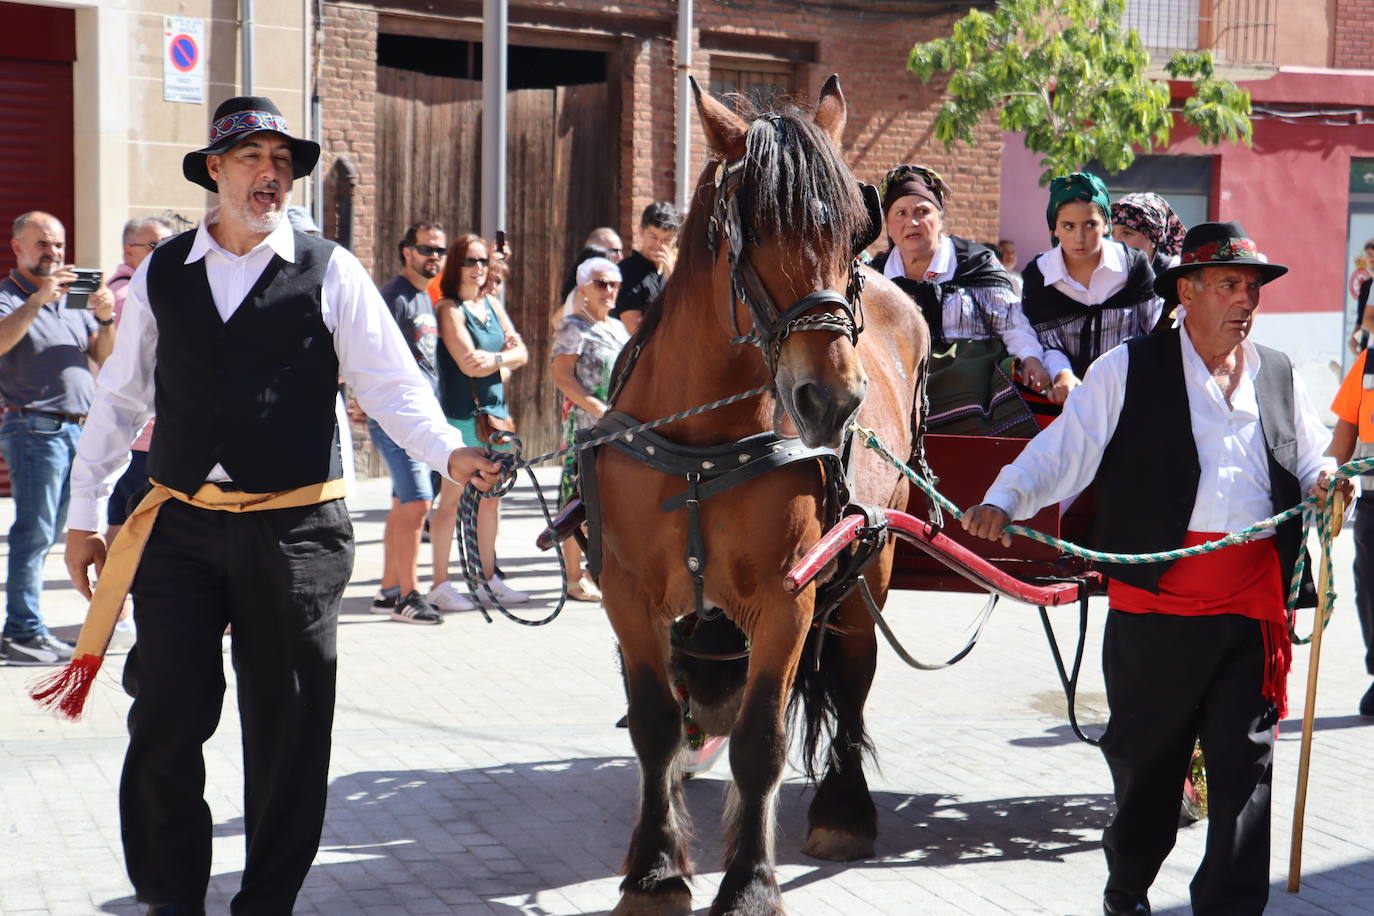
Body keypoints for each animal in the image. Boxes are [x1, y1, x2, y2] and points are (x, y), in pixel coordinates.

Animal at [596, 80, 928, 916]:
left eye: (855, 229)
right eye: (756, 227)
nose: (832, 398)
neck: (704, 441)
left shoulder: (787, 598)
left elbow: (760, 743)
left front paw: (748, 882)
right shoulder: (628, 593)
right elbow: (656, 726)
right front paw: (655, 869)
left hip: (868, 566)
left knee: (853, 677)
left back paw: (844, 807)